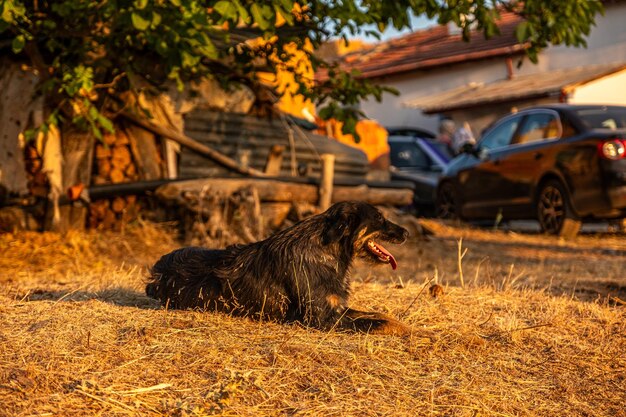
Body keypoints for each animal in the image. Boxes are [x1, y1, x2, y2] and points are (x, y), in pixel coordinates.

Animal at [146, 200, 410, 334]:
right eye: (379, 219)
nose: (407, 233)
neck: (326, 251)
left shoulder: (337, 308)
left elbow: (378, 315)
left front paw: (403, 324)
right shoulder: (322, 318)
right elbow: (375, 323)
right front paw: (406, 330)